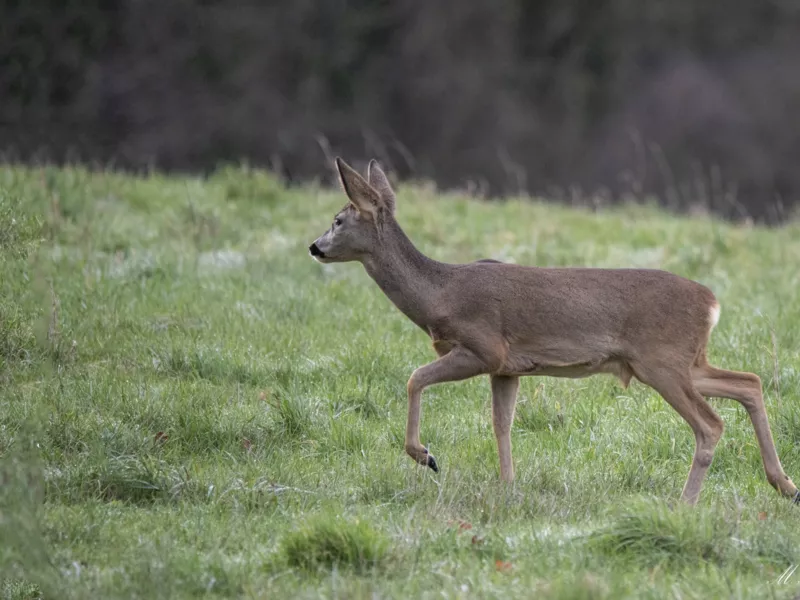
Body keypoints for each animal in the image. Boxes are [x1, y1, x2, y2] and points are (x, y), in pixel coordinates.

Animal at [308, 157, 800, 504]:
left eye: (337, 220)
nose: (314, 247)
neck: (439, 295)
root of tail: (711, 302)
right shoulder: (507, 368)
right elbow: (501, 424)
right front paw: (508, 487)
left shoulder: (483, 347)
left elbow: (414, 379)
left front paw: (425, 455)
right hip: (683, 361)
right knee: (749, 382)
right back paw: (784, 485)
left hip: (661, 361)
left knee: (711, 423)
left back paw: (686, 504)